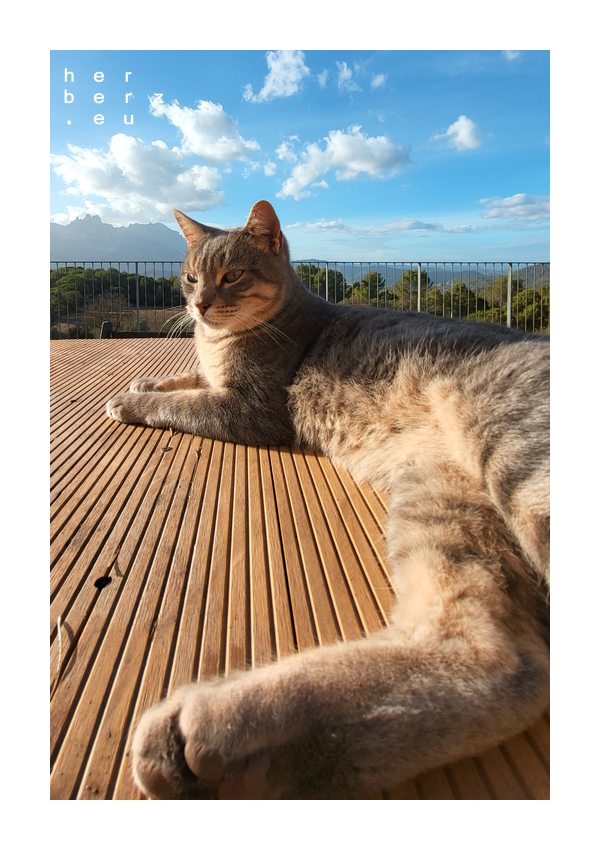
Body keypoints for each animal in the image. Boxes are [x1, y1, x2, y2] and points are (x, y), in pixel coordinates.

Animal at [106, 200, 549, 799]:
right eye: (191, 277)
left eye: (232, 275)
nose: (198, 305)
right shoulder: (213, 378)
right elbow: (181, 379)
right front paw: (148, 383)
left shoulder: (250, 410)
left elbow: (184, 402)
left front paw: (131, 400)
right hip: (442, 499)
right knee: (495, 656)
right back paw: (230, 744)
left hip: (517, 456)